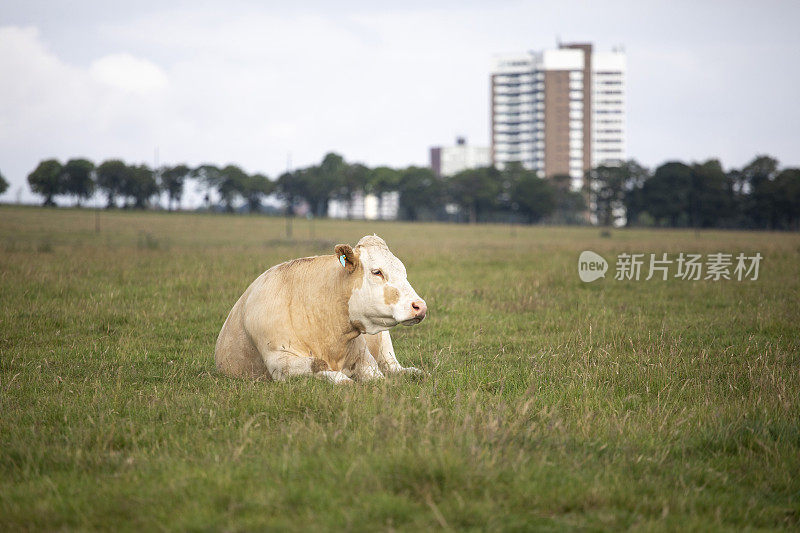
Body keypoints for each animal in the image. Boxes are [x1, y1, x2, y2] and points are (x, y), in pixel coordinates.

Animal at [212, 234, 424, 382]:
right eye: (377, 272)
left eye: (403, 272)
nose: (419, 306)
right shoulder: (278, 363)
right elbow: (322, 367)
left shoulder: (367, 361)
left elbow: (379, 377)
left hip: (384, 345)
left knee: (393, 367)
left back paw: (413, 372)